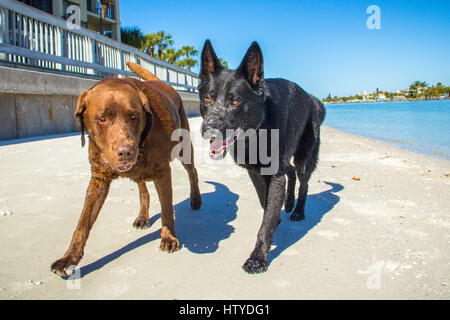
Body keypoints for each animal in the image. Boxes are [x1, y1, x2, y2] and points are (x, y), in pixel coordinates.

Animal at [50, 63, 202, 278]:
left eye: (134, 117)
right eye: (102, 119)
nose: (125, 152)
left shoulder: (162, 172)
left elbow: (166, 210)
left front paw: (169, 237)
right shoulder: (98, 180)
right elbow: (82, 224)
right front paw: (69, 257)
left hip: (184, 147)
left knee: (192, 172)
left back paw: (195, 199)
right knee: (142, 189)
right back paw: (142, 216)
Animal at [199, 40, 326, 274]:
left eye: (235, 102)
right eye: (208, 99)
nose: (208, 129)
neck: (257, 131)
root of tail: (313, 101)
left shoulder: (275, 176)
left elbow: (265, 223)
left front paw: (257, 258)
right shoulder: (256, 172)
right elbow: (264, 201)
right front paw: (274, 217)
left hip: (304, 158)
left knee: (303, 181)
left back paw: (298, 210)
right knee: (290, 172)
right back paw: (289, 202)